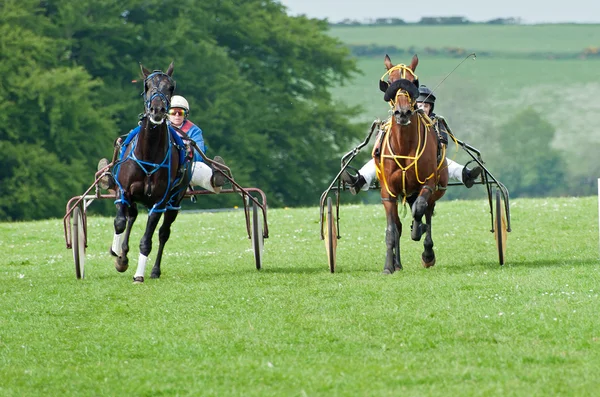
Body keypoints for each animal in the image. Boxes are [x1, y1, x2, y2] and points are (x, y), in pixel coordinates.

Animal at [110, 62, 190, 282]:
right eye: (147, 86)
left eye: (170, 87)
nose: (157, 109)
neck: (149, 153)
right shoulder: (123, 191)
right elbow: (120, 222)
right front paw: (118, 255)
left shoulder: (159, 202)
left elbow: (147, 240)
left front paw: (139, 274)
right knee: (130, 217)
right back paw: (122, 255)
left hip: (174, 202)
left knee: (163, 233)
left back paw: (154, 270)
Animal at [378, 55, 448, 272]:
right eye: (390, 82)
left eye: (412, 82)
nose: (402, 113)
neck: (404, 146)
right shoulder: (388, 191)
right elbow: (391, 229)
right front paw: (388, 266)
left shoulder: (428, 183)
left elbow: (419, 209)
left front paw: (418, 231)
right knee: (398, 225)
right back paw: (397, 263)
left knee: (427, 211)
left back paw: (427, 252)